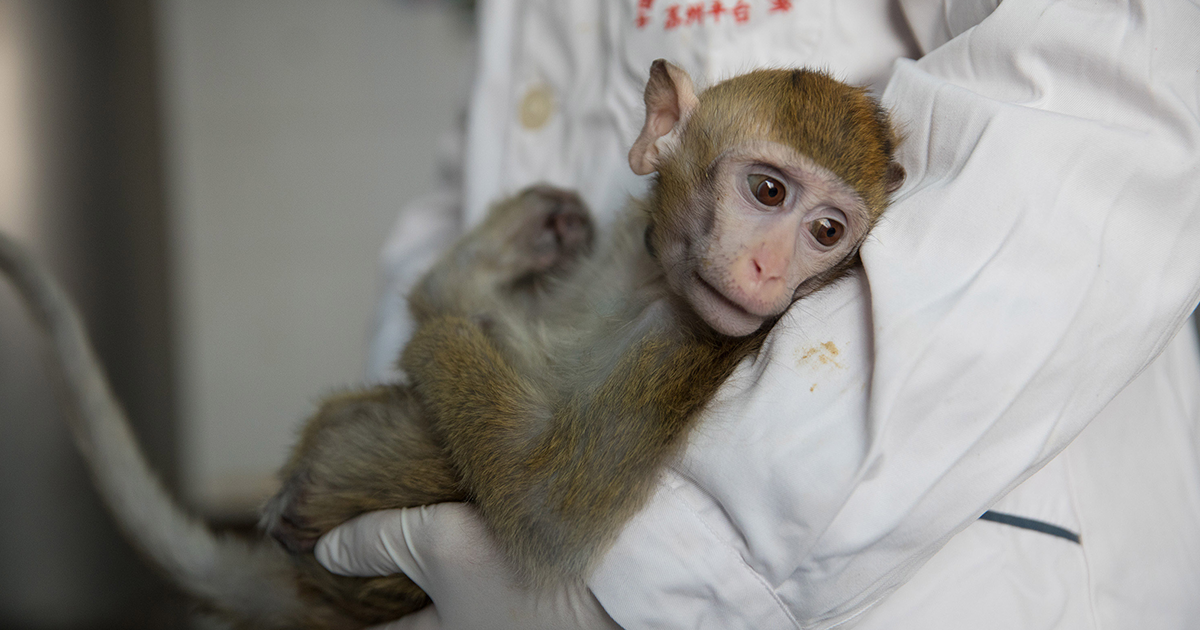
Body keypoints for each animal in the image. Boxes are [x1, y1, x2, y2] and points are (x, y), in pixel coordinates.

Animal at [0, 57, 902, 624]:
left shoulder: (683, 349)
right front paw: (525, 238)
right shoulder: (627, 250)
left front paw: (433, 340)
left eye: (827, 232)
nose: (767, 268)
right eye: (768, 191)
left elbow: (543, 508)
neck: (654, 286)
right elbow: (469, 302)